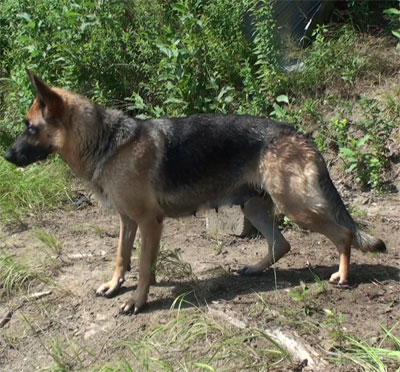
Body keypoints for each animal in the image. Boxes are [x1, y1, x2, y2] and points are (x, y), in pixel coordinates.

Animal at [4, 70, 386, 314]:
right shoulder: (127, 220)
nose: (6, 156)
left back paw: (343, 276)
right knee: (282, 244)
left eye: (29, 128)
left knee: (343, 232)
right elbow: (122, 257)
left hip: (296, 208)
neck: (107, 143)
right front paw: (115, 286)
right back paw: (255, 269)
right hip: (255, 208)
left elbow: (142, 265)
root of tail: (300, 135)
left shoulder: (149, 221)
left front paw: (137, 301)